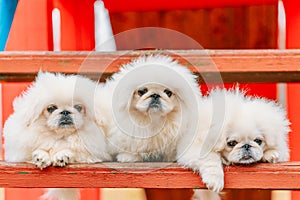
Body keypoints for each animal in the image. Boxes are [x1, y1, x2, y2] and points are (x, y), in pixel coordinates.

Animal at [3, 72, 111, 200]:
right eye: (51, 108)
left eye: (78, 107)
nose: (65, 111)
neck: (60, 135)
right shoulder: (20, 154)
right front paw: (41, 156)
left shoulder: (92, 153)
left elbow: (73, 151)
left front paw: (62, 155)